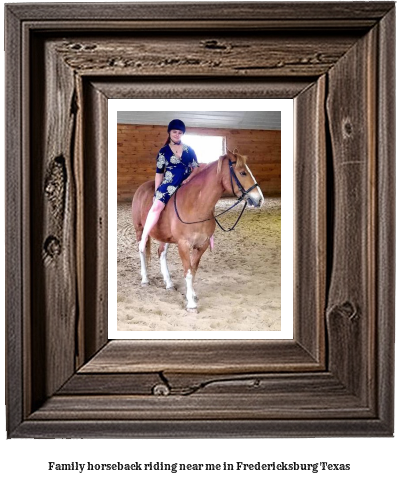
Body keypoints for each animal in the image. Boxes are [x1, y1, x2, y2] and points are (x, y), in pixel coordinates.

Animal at [131, 149, 264, 312]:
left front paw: (192, 295)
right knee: (142, 250)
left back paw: (168, 283)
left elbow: (193, 270)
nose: (259, 199)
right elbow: (188, 272)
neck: (195, 205)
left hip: (165, 237)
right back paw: (145, 279)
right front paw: (191, 304)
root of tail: (141, 188)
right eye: (243, 172)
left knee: (161, 252)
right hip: (139, 230)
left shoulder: (202, 245)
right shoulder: (183, 245)